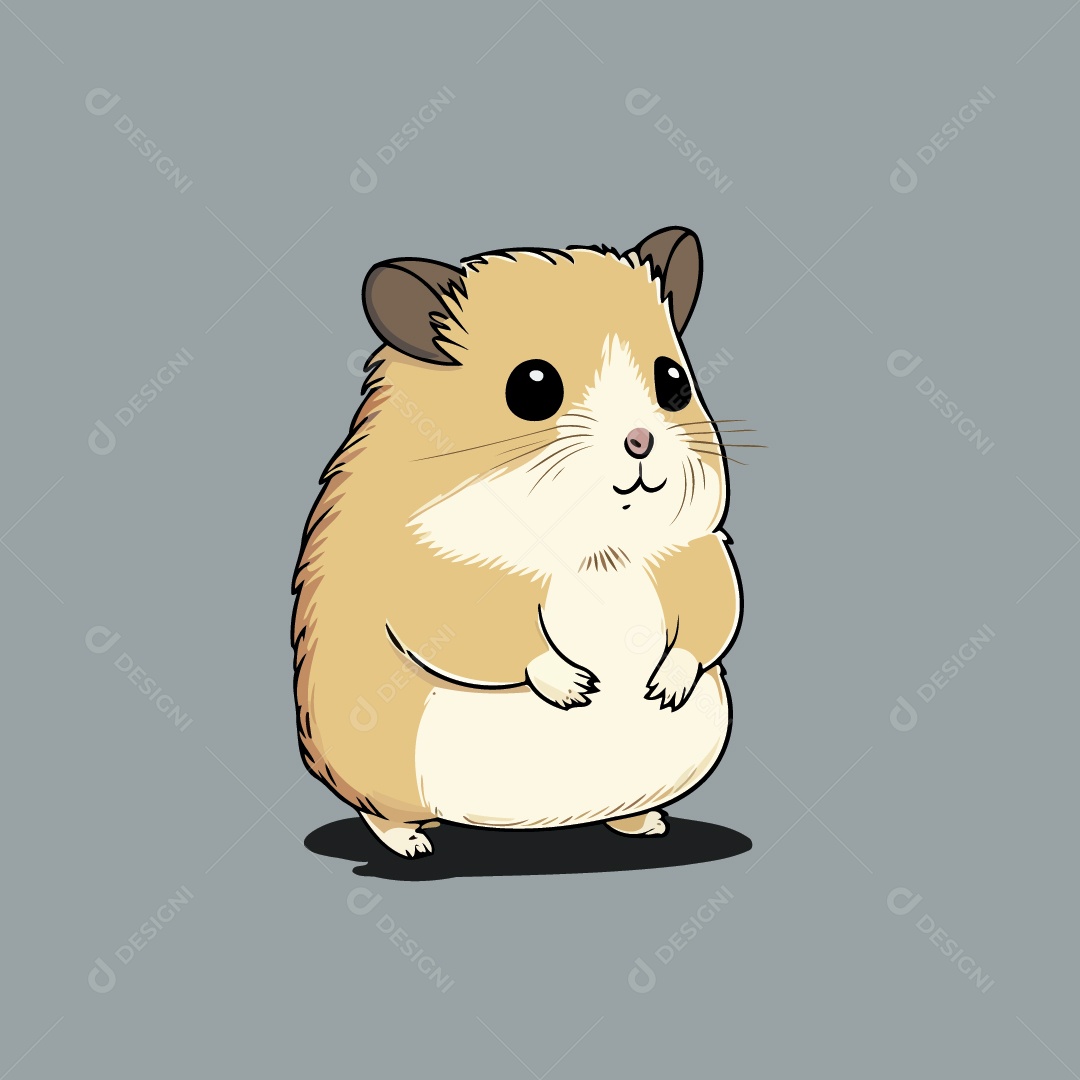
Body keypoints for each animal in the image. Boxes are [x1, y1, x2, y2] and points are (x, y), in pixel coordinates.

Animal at [291, 227, 742, 858]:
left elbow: (711, 617)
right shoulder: (433, 573)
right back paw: (413, 845)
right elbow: (495, 638)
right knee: (379, 812)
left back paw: (647, 825)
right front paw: (579, 689)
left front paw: (663, 688)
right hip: (373, 770)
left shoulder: (694, 554)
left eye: (674, 381)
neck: (594, 545)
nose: (640, 440)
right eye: (533, 387)